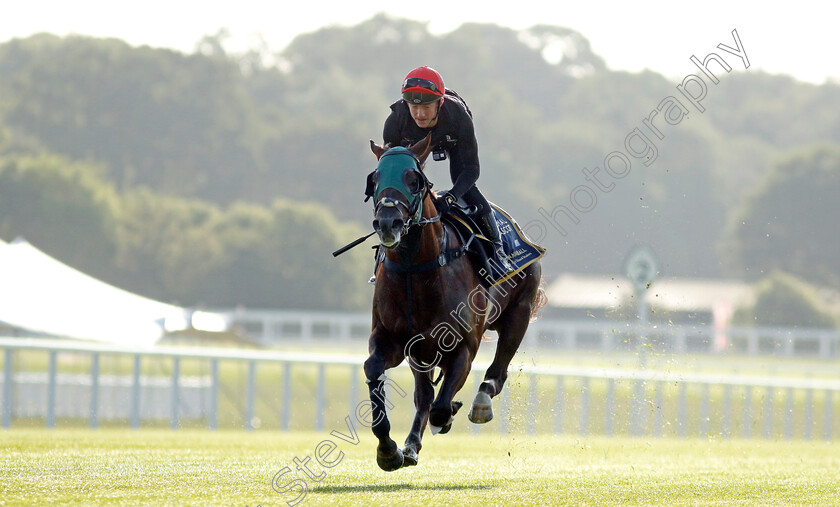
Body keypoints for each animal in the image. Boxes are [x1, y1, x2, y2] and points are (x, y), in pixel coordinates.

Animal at [362, 133, 544, 470]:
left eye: (414, 179)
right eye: (375, 178)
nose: (388, 222)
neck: (415, 271)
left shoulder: (463, 347)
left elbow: (442, 406)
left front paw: (448, 415)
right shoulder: (394, 341)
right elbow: (375, 371)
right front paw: (388, 450)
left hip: (519, 313)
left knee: (497, 372)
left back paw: (480, 404)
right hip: (420, 352)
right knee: (423, 396)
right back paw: (411, 444)